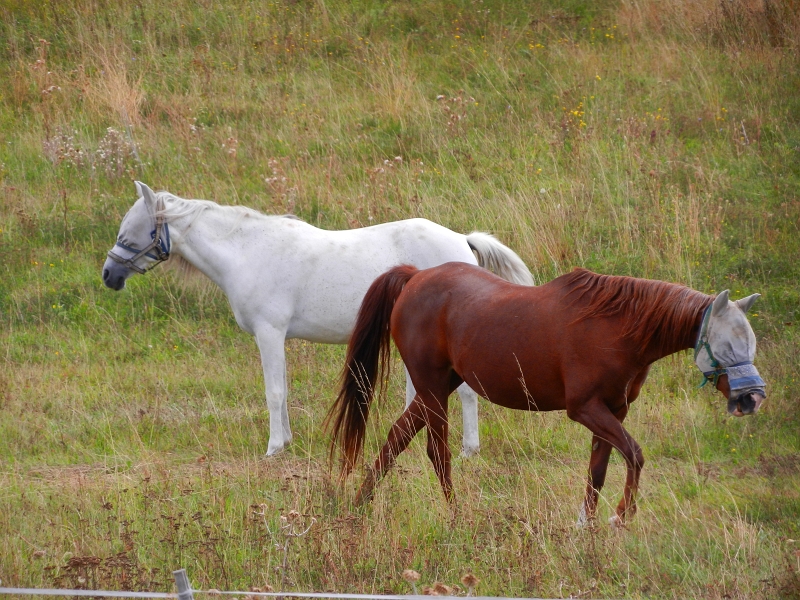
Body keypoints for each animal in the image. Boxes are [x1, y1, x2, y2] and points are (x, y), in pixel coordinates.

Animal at [103, 182, 536, 454]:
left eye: (131, 231)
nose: (109, 275)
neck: (247, 251)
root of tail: (462, 240)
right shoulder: (276, 337)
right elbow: (283, 390)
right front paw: (286, 442)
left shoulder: (269, 334)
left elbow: (274, 392)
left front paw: (273, 448)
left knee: (464, 392)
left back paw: (468, 450)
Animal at [328, 262, 764, 524]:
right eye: (726, 345)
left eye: (751, 342)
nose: (752, 398)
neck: (619, 328)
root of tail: (415, 275)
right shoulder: (585, 408)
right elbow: (635, 456)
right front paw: (620, 517)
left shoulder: (613, 411)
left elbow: (598, 471)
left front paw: (586, 526)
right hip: (433, 388)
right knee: (438, 453)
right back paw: (455, 515)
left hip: (438, 386)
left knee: (396, 438)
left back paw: (359, 506)